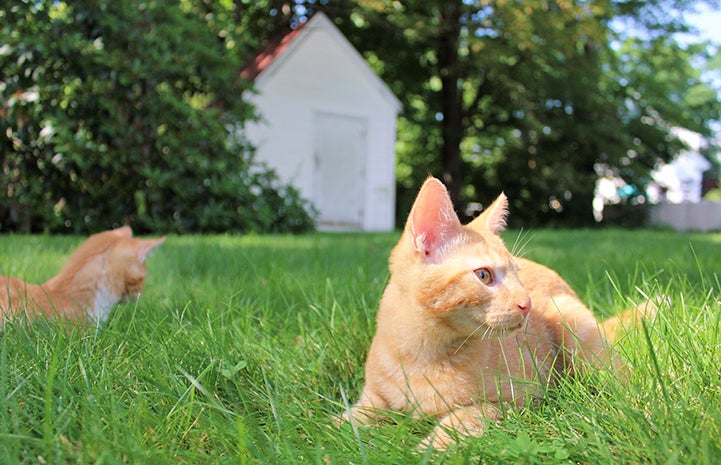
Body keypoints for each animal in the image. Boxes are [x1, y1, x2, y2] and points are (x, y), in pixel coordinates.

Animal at [344, 178, 652, 450]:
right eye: (484, 275)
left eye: (518, 275)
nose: (527, 304)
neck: (423, 355)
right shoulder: (372, 399)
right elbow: (345, 421)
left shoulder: (515, 400)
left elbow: (463, 418)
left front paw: (428, 449)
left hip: (575, 327)